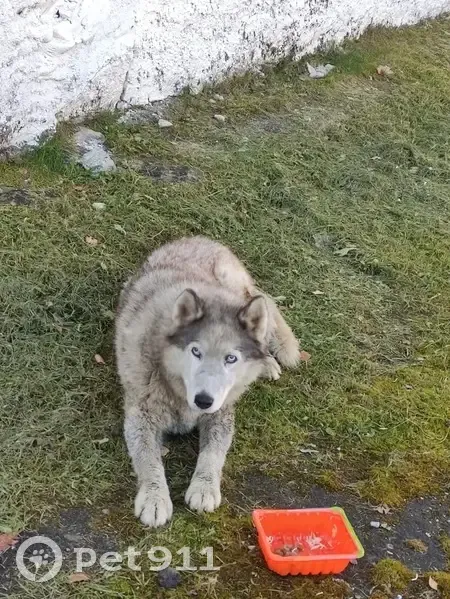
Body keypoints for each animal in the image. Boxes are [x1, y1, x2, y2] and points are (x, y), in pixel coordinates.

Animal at [115, 236, 299, 527]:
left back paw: (267, 361)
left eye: (231, 358)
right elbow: (148, 459)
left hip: (244, 294)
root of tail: (198, 238)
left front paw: (204, 488)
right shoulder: (141, 415)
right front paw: (155, 498)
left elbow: (213, 453)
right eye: (195, 352)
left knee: (264, 314)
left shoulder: (221, 413)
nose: (203, 400)